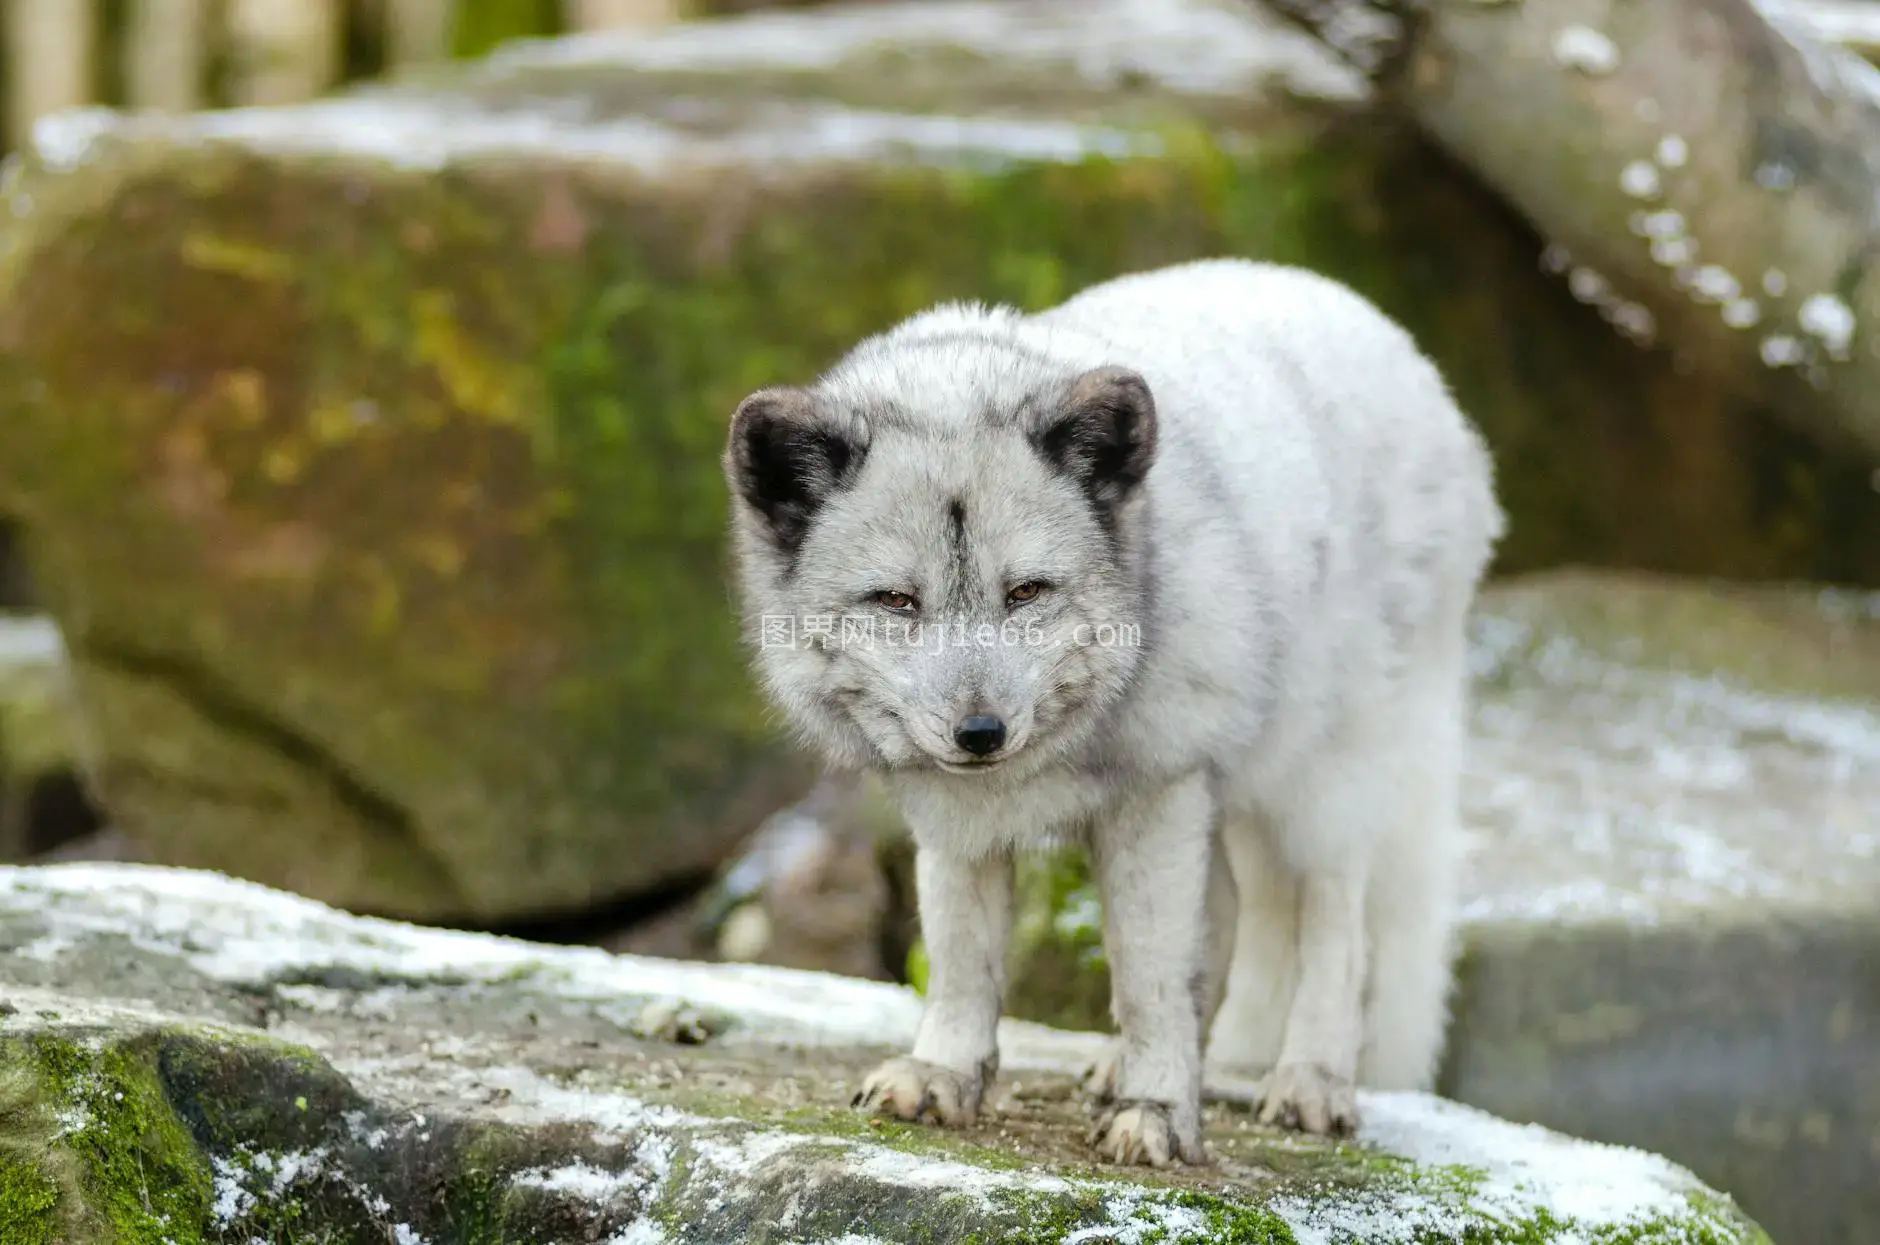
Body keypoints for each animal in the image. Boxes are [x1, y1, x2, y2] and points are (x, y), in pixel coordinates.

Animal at [714, 255, 1496, 1173]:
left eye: (1027, 591)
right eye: (897, 601)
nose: (980, 734)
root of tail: (1389, 334)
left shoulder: (1158, 787)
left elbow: (1150, 971)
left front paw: (1157, 1112)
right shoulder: (956, 817)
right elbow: (963, 957)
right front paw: (944, 1074)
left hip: (1325, 778)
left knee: (1333, 922)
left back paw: (1308, 1080)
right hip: (1230, 791)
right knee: (1243, 918)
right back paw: (1207, 1064)